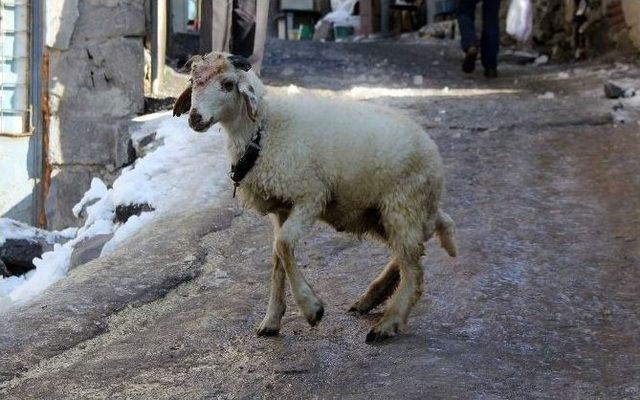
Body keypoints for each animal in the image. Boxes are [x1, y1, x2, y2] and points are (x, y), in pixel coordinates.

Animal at [172, 51, 458, 342]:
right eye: (193, 81)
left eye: (228, 84)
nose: (195, 117)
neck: (264, 129)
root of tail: (433, 155)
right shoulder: (282, 208)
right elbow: (277, 260)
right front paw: (271, 319)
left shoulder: (311, 196)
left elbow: (284, 244)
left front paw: (312, 308)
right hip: (380, 213)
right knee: (412, 251)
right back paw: (371, 298)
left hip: (402, 205)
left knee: (414, 271)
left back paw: (388, 323)